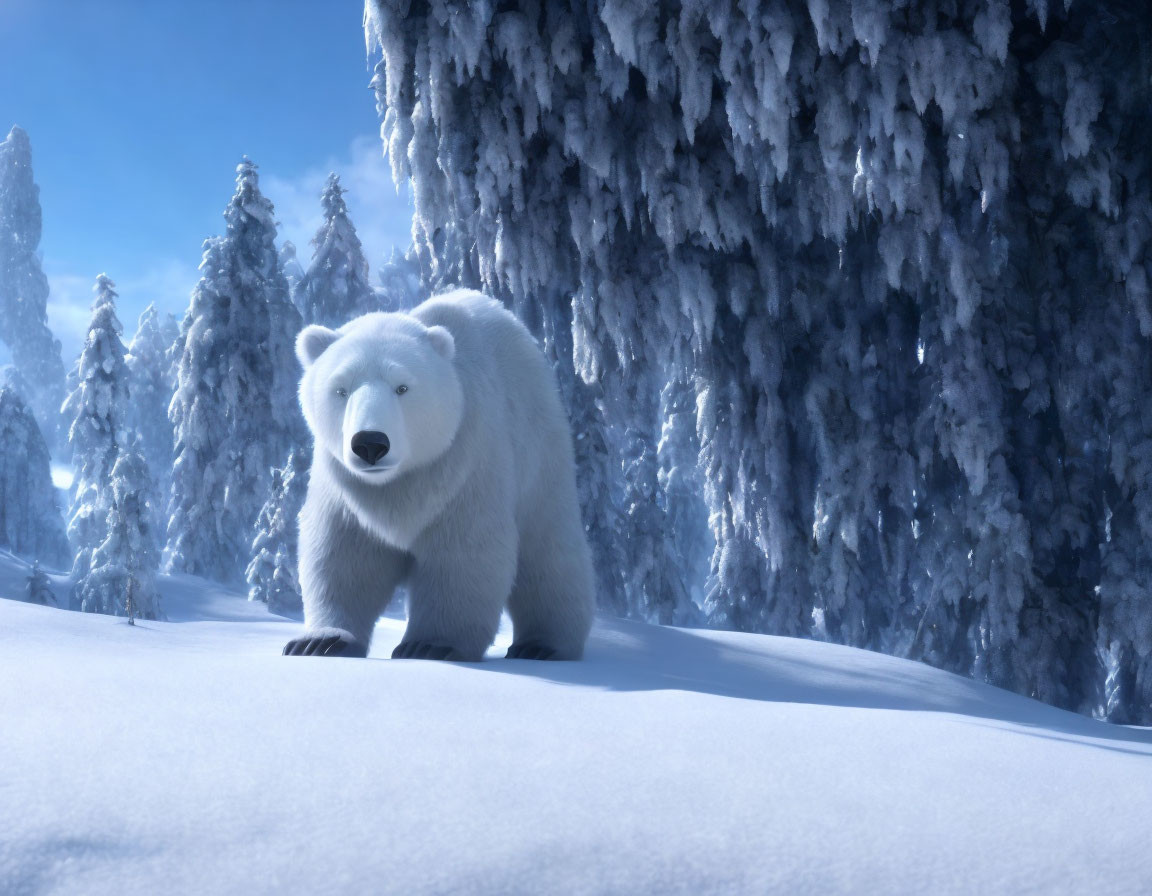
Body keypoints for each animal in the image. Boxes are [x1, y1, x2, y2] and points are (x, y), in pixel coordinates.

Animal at [284, 290, 599, 658]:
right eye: (340, 389)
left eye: (402, 387)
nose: (370, 444)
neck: (401, 482)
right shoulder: (346, 494)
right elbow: (343, 557)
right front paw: (321, 640)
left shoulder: (465, 471)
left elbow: (463, 555)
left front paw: (427, 645)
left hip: (540, 458)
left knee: (549, 553)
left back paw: (541, 645)